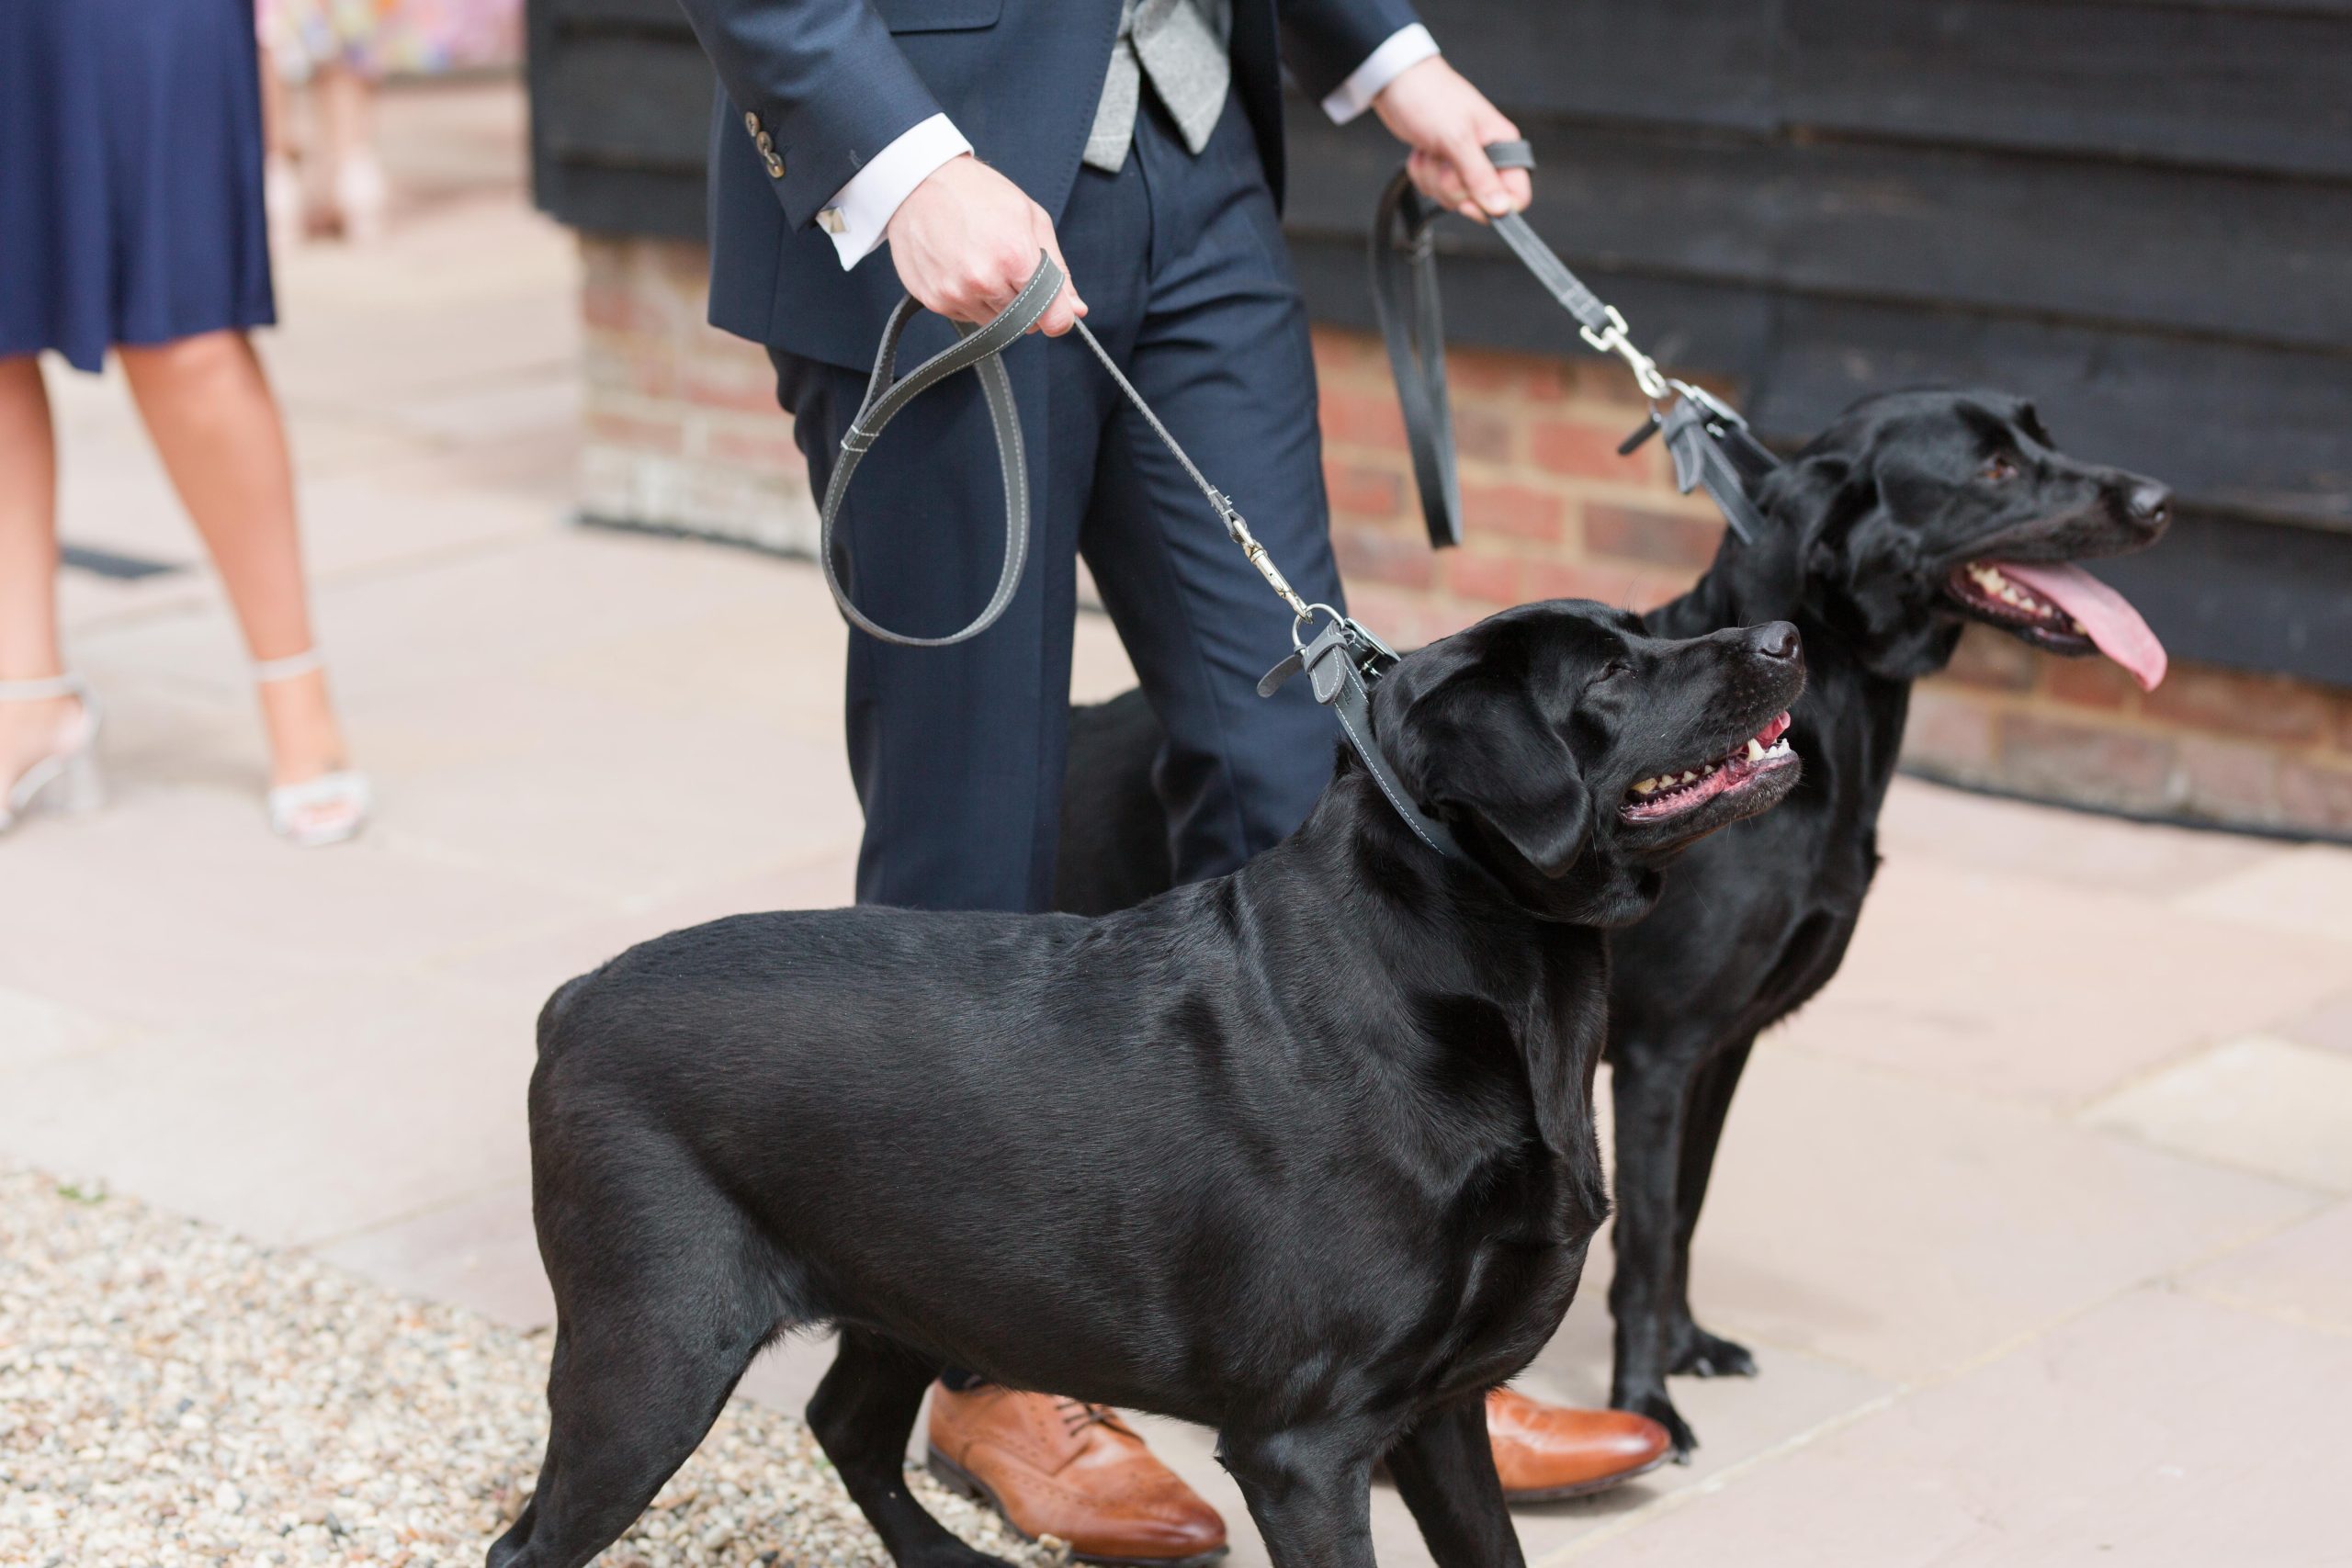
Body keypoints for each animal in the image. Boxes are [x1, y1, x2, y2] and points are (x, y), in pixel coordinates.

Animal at [481, 606, 1796, 1568]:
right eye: (1612, 673)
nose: (1785, 637)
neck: (1468, 977)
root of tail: (573, 999)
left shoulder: (1437, 1416)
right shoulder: (1304, 1448)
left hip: (917, 1290)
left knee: (841, 1424)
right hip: (654, 1352)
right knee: (529, 1548)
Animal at [1058, 392, 2173, 1457]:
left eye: (2038, 435)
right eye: (1994, 469)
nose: (2160, 502)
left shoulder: (1722, 1048)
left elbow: (1682, 1214)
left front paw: (1685, 1349)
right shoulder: (1656, 1056)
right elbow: (1643, 1241)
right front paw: (1648, 1400)